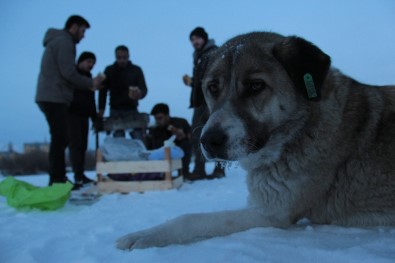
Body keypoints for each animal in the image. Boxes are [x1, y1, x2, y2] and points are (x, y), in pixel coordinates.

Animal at [116, 32, 394, 251]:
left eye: (255, 86)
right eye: (212, 87)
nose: (209, 141)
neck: (300, 128)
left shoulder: (274, 213)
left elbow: (189, 219)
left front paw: (143, 235)